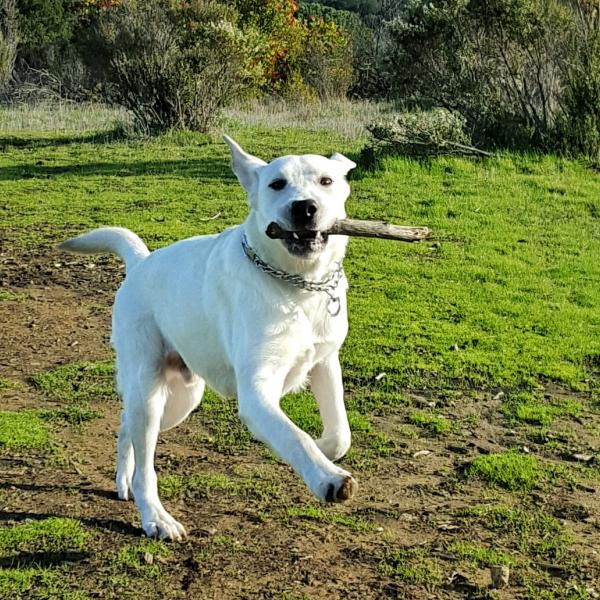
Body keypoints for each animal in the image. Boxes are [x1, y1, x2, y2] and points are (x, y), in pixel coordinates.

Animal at [60, 136, 358, 540]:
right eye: (276, 184)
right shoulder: (256, 392)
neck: (297, 287)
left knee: (126, 428)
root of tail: (141, 262)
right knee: (146, 466)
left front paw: (325, 448)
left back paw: (123, 479)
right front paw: (328, 477)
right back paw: (155, 517)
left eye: (326, 181)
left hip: (181, 400)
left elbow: (339, 432)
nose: (305, 208)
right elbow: (293, 435)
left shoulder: (325, 362)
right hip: (150, 393)